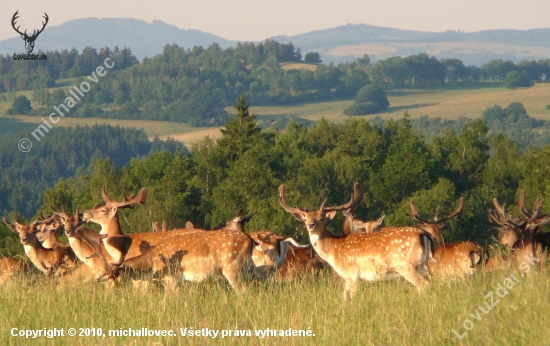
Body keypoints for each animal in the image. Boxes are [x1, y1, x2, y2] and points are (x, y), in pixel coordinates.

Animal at [280, 182, 436, 298]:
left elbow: (350, 298)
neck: (334, 250)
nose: (311, 225)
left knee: (424, 285)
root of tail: (424, 235)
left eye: (321, 218)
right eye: (305, 219)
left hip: (407, 266)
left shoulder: (352, 274)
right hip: (421, 266)